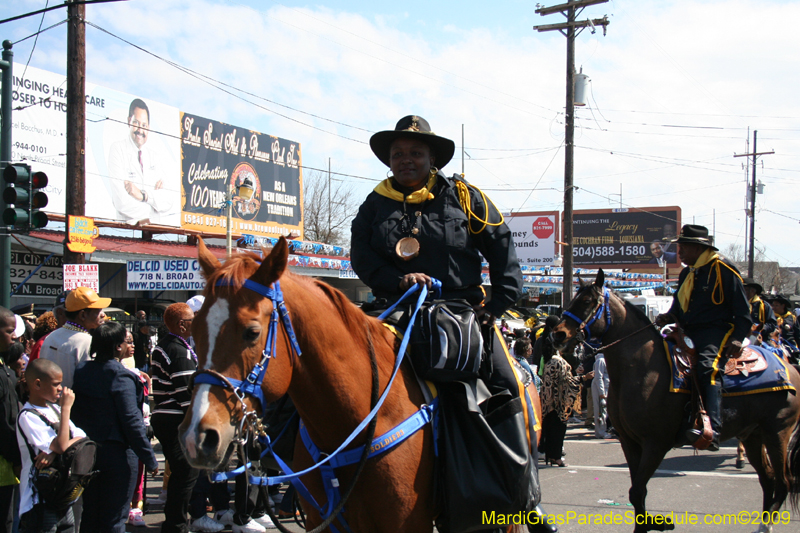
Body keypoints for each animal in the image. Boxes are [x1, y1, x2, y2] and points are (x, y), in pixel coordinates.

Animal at [179, 239, 544, 528]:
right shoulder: (326, 522)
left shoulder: (407, 524)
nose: (198, 437)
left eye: (252, 332)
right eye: (194, 329)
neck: (352, 421)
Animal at [552, 270, 800, 532]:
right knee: (768, 479)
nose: (558, 334)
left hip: (777, 433)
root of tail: (789, 368)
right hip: (753, 435)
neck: (642, 368)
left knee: (783, 482)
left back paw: (765, 524)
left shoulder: (655, 443)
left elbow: (637, 491)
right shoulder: (629, 442)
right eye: (571, 300)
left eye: (587, 301)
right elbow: (637, 493)